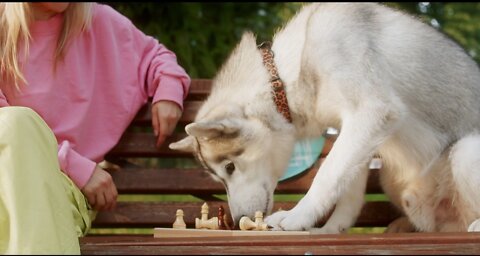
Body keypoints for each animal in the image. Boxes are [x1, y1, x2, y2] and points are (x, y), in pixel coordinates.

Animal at [171, 2, 480, 233]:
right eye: (219, 176)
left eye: (230, 167)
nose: (236, 222)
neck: (287, 76)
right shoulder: (353, 131)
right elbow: (347, 190)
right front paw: (330, 230)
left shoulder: (371, 113)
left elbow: (327, 176)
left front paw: (297, 217)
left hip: (465, 151)